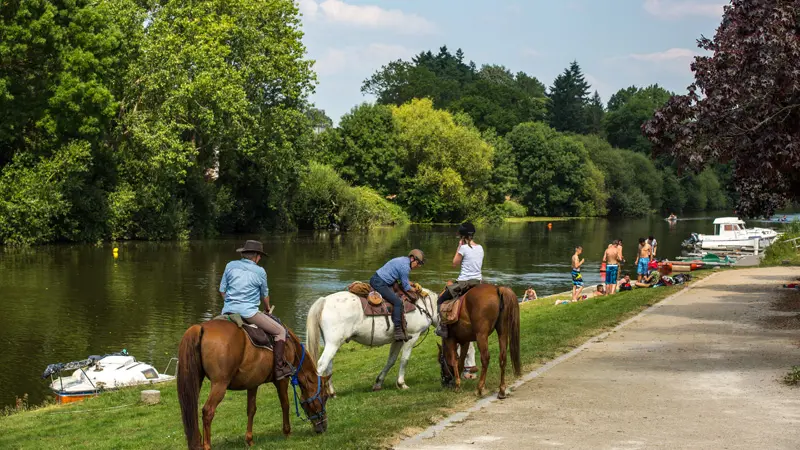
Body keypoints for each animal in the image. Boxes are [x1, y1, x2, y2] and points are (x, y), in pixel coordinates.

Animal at [178, 320, 328, 450]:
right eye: (325, 396)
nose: (324, 427)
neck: (290, 345)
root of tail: (201, 327)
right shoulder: (282, 380)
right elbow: (285, 404)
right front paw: (287, 432)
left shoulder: (253, 383)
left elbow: (251, 410)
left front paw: (249, 440)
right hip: (219, 384)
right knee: (208, 411)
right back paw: (207, 446)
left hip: (196, 382)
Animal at [304, 286, 468, 396]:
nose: (448, 381)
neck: (424, 306)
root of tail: (324, 301)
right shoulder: (412, 337)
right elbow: (404, 359)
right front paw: (401, 383)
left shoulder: (398, 340)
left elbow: (391, 360)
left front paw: (378, 383)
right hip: (333, 343)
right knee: (321, 364)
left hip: (332, 343)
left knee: (328, 365)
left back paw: (332, 392)